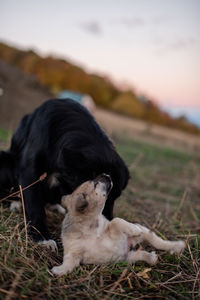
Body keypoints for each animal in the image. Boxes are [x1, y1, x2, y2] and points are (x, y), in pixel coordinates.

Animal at [52, 173, 186, 276]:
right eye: (95, 184)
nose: (106, 174)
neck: (90, 228)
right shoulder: (73, 253)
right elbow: (68, 262)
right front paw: (59, 270)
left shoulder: (114, 231)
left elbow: (116, 221)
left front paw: (133, 229)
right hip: (128, 257)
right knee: (140, 254)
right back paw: (152, 258)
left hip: (144, 235)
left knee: (159, 242)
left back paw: (176, 246)